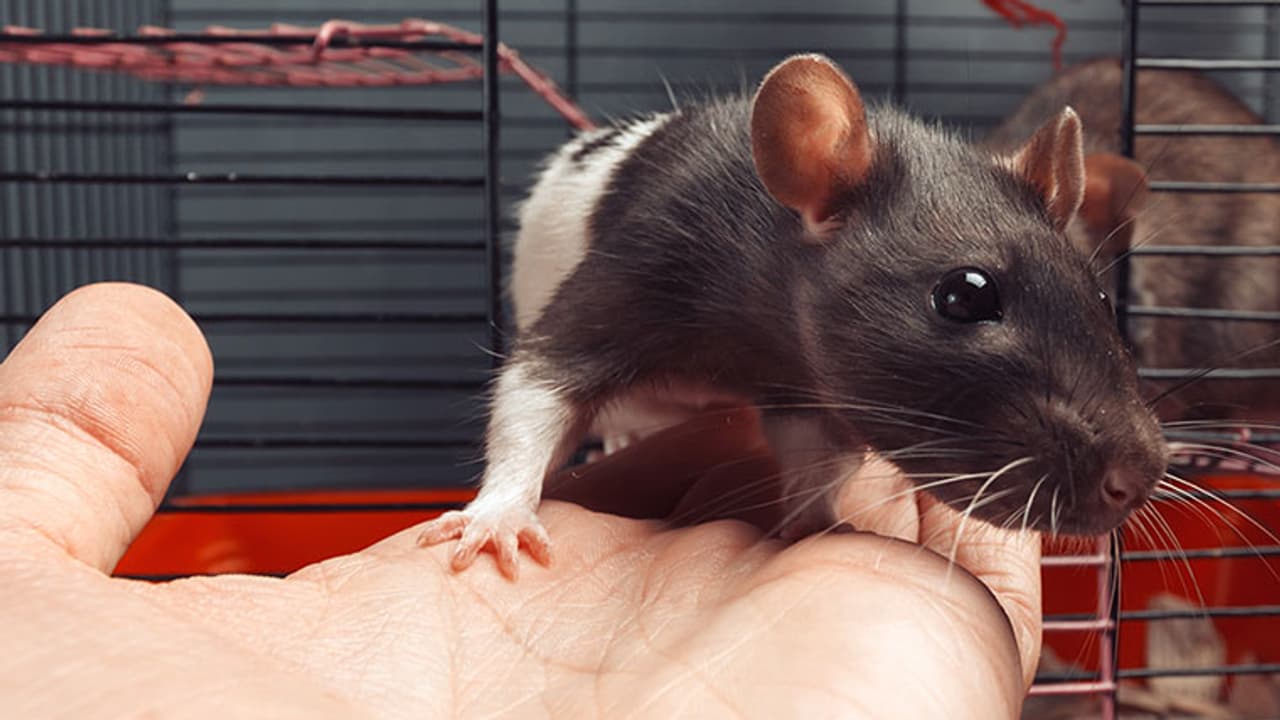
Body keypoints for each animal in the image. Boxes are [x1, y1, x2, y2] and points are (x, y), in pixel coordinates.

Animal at [417, 54, 1169, 579]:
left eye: (1101, 297)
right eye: (965, 295)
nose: (1137, 479)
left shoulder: (803, 379)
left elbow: (817, 447)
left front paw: (814, 520)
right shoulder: (650, 253)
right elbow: (544, 374)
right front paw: (500, 515)